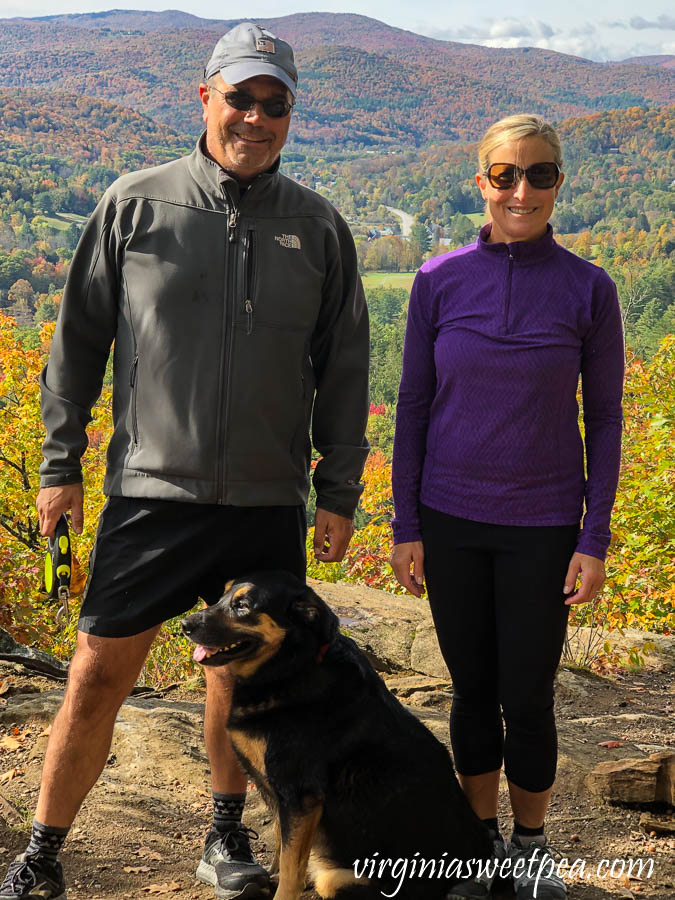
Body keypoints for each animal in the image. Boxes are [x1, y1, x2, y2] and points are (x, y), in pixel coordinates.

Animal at [182, 572, 494, 896]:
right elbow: (282, 845)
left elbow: (292, 867)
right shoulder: (284, 798)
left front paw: (283, 889)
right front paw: (274, 877)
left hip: (339, 879)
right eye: (220, 596)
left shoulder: (300, 796)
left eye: (242, 606)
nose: (184, 625)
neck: (294, 665)